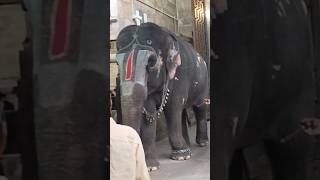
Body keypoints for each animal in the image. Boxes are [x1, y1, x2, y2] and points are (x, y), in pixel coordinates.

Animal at [115, 21, 210, 169]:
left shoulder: (180, 74)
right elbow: (149, 113)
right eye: (117, 63)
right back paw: (187, 145)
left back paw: (202, 143)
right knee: (182, 112)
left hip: (204, 83)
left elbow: (172, 108)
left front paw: (181, 156)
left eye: (151, 62)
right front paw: (151, 166)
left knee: (200, 107)